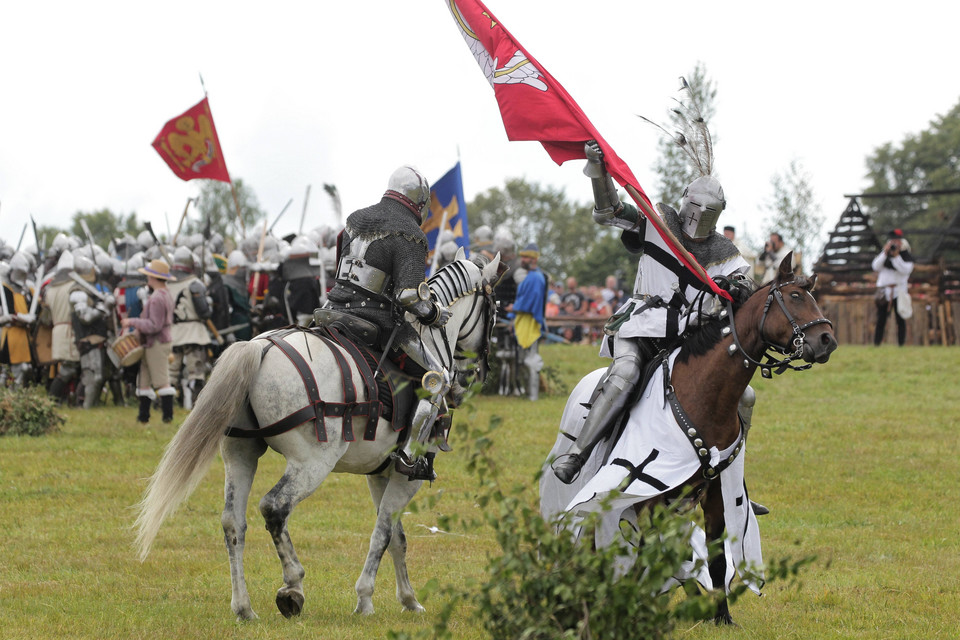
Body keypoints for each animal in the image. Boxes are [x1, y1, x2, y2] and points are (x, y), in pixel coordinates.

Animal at [135, 254, 502, 620]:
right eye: (494, 309)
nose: (478, 373)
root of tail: (259, 348)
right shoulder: (407, 476)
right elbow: (383, 533)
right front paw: (365, 600)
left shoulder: (382, 473)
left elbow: (397, 537)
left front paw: (409, 600)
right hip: (311, 464)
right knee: (274, 507)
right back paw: (292, 586)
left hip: (240, 454)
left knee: (232, 522)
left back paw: (243, 607)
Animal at [544, 254, 836, 624]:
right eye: (795, 297)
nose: (827, 340)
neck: (704, 395)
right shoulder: (648, 496)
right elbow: (649, 552)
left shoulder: (715, 495)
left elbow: (715, 557)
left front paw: (721, 615)